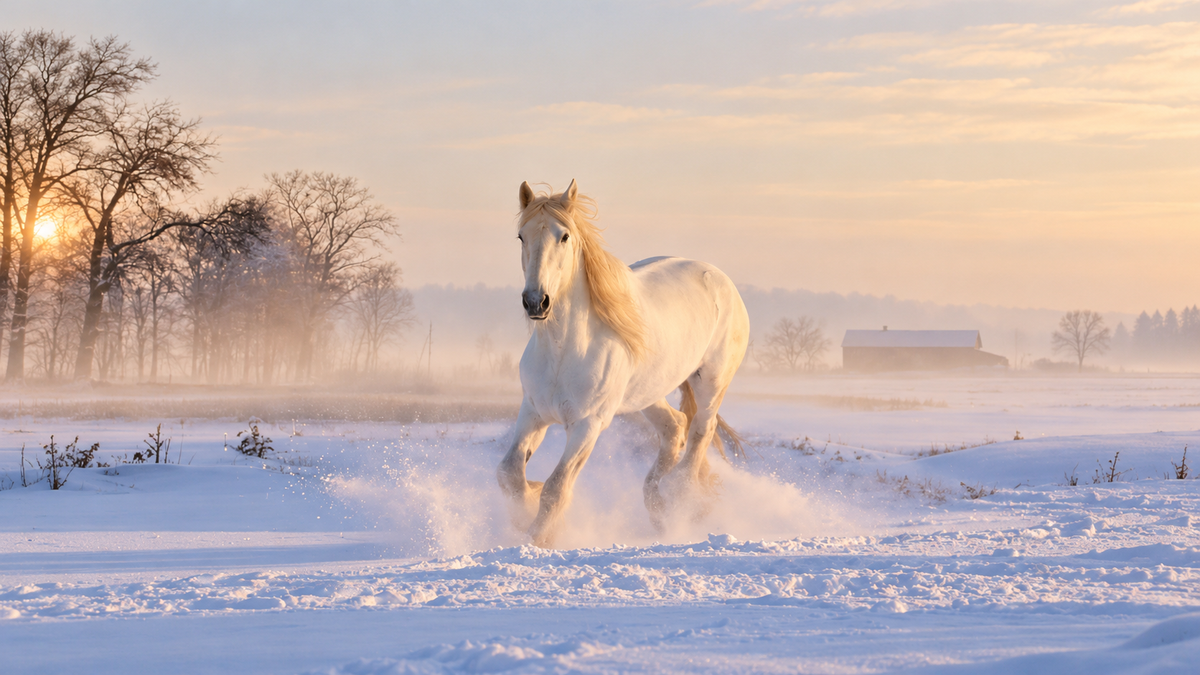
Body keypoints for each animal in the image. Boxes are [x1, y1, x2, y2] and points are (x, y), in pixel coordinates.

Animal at [496, 180, 750, 548]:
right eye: (521, 236)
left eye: (564, 236)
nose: (536, 301)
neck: (563, 350)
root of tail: (720, 279)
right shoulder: (533, 412)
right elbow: (510, 474)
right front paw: (525, 511)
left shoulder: (588, 424)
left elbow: (557, 488)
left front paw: (538, 538)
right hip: (647, 393)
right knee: (675, 427)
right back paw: (657, 507)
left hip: (711, 383)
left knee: (702, 431)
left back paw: (679, 498)